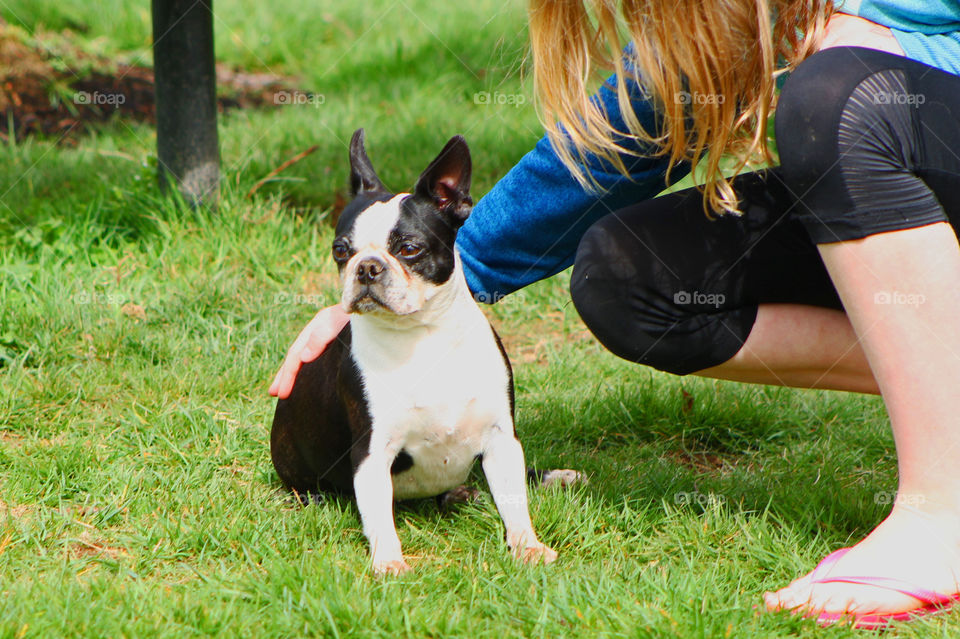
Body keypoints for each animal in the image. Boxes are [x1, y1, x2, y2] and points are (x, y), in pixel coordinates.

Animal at [270, 130, 576, 576]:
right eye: (341, 250)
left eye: (409, 248)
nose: (367, 267)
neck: (422, 334)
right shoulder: (372, 451)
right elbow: (379, 516)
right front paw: (389, 562)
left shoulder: (502, 438)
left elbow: (514, 501)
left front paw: (527, 545)